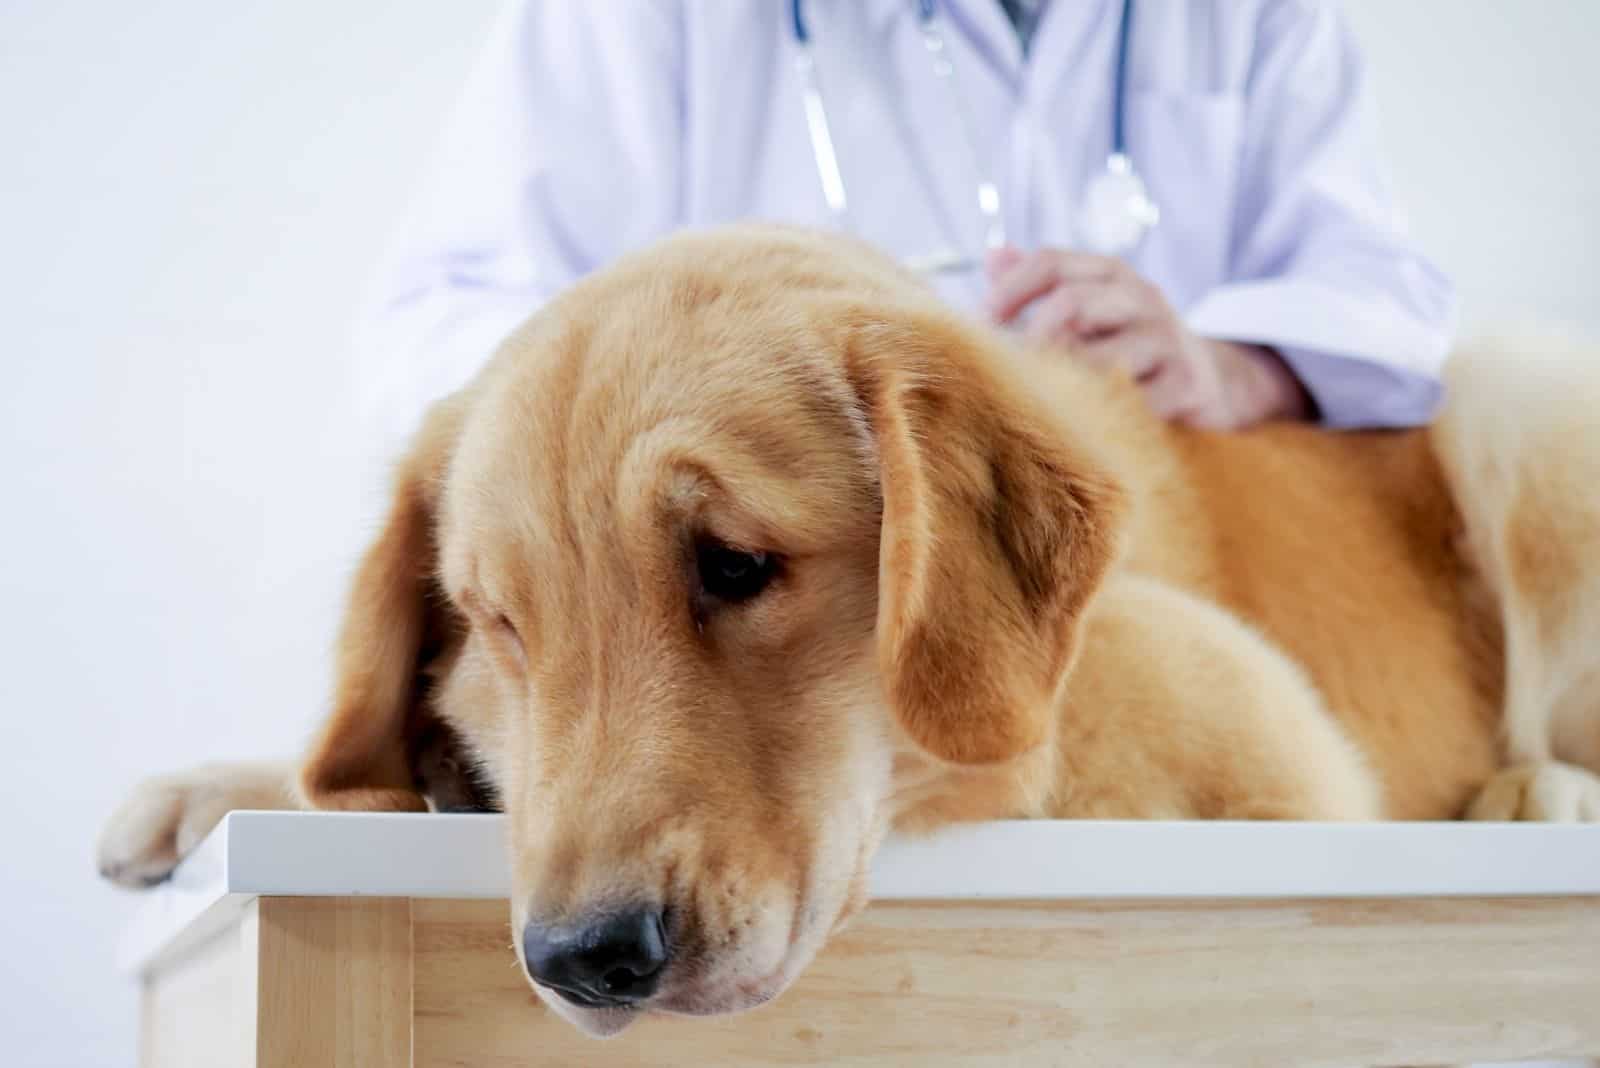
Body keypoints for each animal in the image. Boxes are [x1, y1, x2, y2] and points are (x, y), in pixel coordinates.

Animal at [100, 223, 1600, 1036]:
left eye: (733, 565)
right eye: (502, 624)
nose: (581, 958)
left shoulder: (1235, 708)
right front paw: (223, 786)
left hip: (1517, 402)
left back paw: (1541, 792)